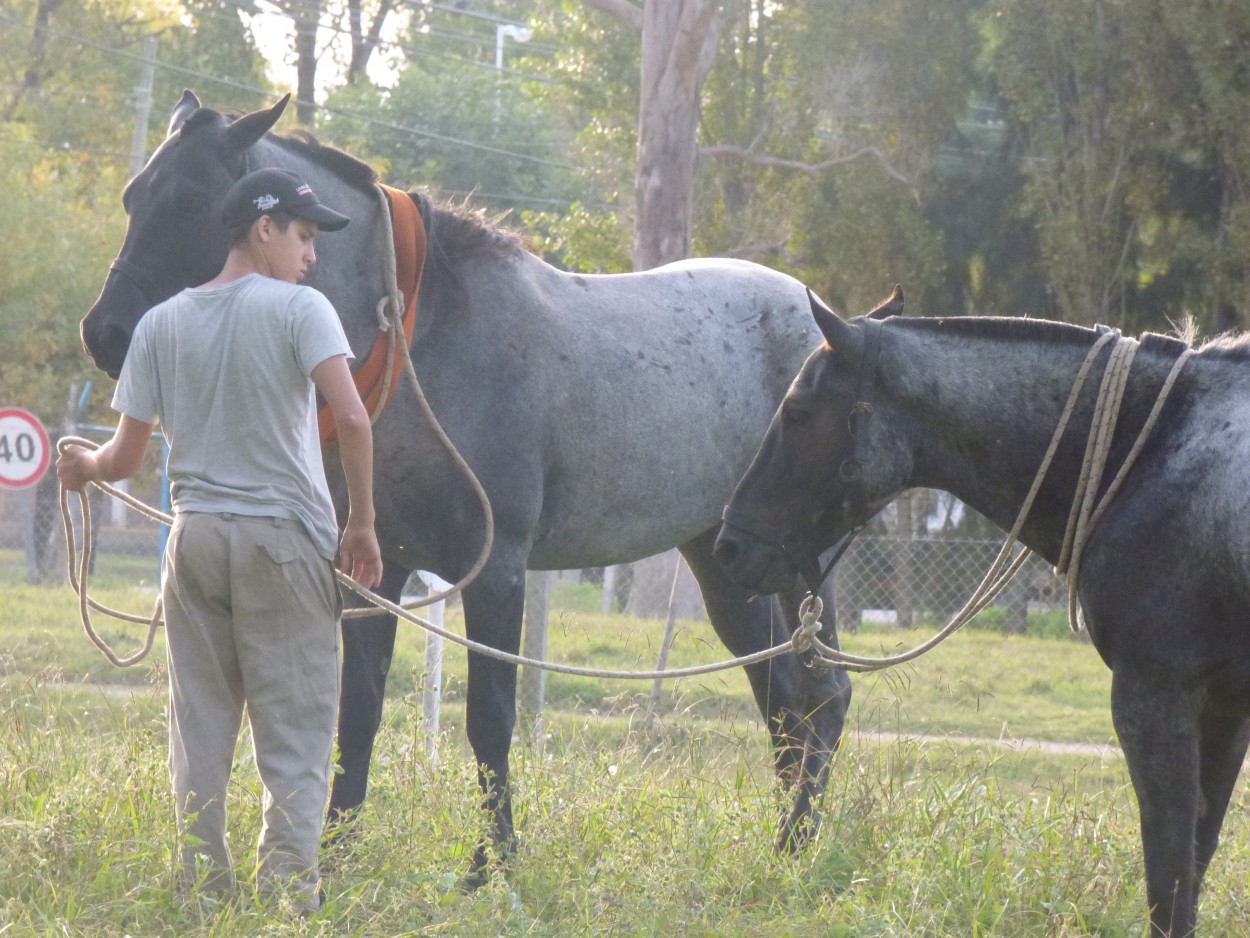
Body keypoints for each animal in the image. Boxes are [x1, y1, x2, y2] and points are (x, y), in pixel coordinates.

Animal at [83, 91, 855, 885]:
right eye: (133, 196)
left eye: (193, 201)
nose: (103, 334)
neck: (426, 338)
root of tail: (828, 325)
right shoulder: (375, 570)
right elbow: (357, 712)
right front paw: (342, 848)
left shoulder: (499, 572)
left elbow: (490, 719)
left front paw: (495, 865)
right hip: (727, 564)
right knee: (782, 696)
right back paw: (781, 847)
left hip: (797, 564)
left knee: (822, 697)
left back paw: (797, 849)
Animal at [715, 290, 1250, 935]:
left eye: (797, 411)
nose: (728, 546)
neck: (1152, 449)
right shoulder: (1225, 707)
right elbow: (1192, 862)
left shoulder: (1155, 697)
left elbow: (1169, 878)